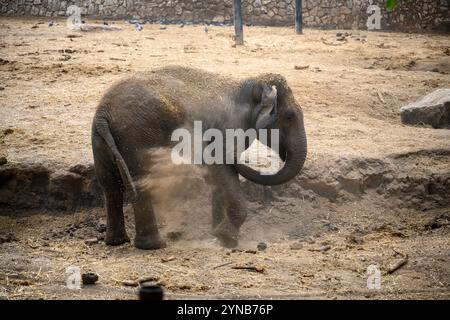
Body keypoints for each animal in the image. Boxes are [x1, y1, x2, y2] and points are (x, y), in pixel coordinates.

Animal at [92, 66, 308, 249]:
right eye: (289, 116)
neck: (249, 84)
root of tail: (103, 113)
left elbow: (217, 176)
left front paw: (216, 235)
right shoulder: (227, 129)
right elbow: (221, 168)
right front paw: (226, 238)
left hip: (102, 141)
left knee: (110, 186)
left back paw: (117, 242)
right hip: (137, 136)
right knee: (139, 182)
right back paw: (154, 246)